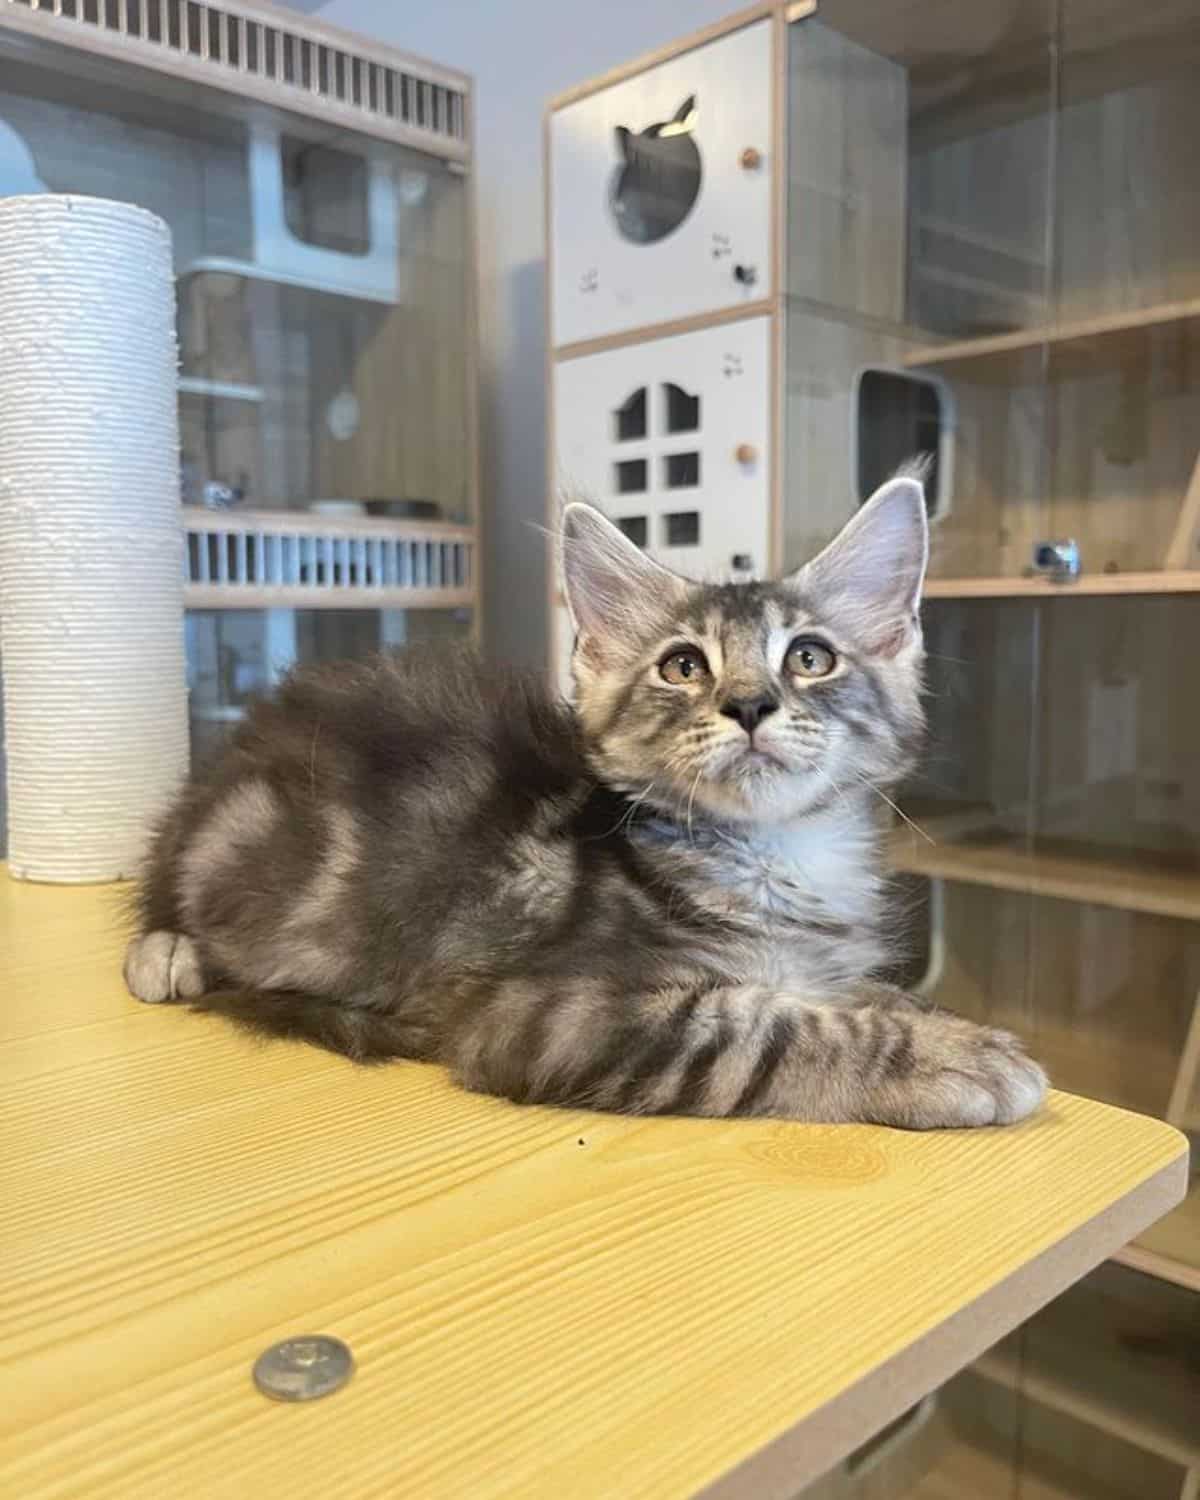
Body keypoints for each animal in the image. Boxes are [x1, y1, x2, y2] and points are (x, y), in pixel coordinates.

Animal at [131, 480, 1044, 1128]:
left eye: (811, 657)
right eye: (683, 666)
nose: (749, 703)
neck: (773, 856)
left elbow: (852, 995)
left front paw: (939, 1019)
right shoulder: (545, 1015)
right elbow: (768, 1027)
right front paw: (949, 1058)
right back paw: (165, 951)